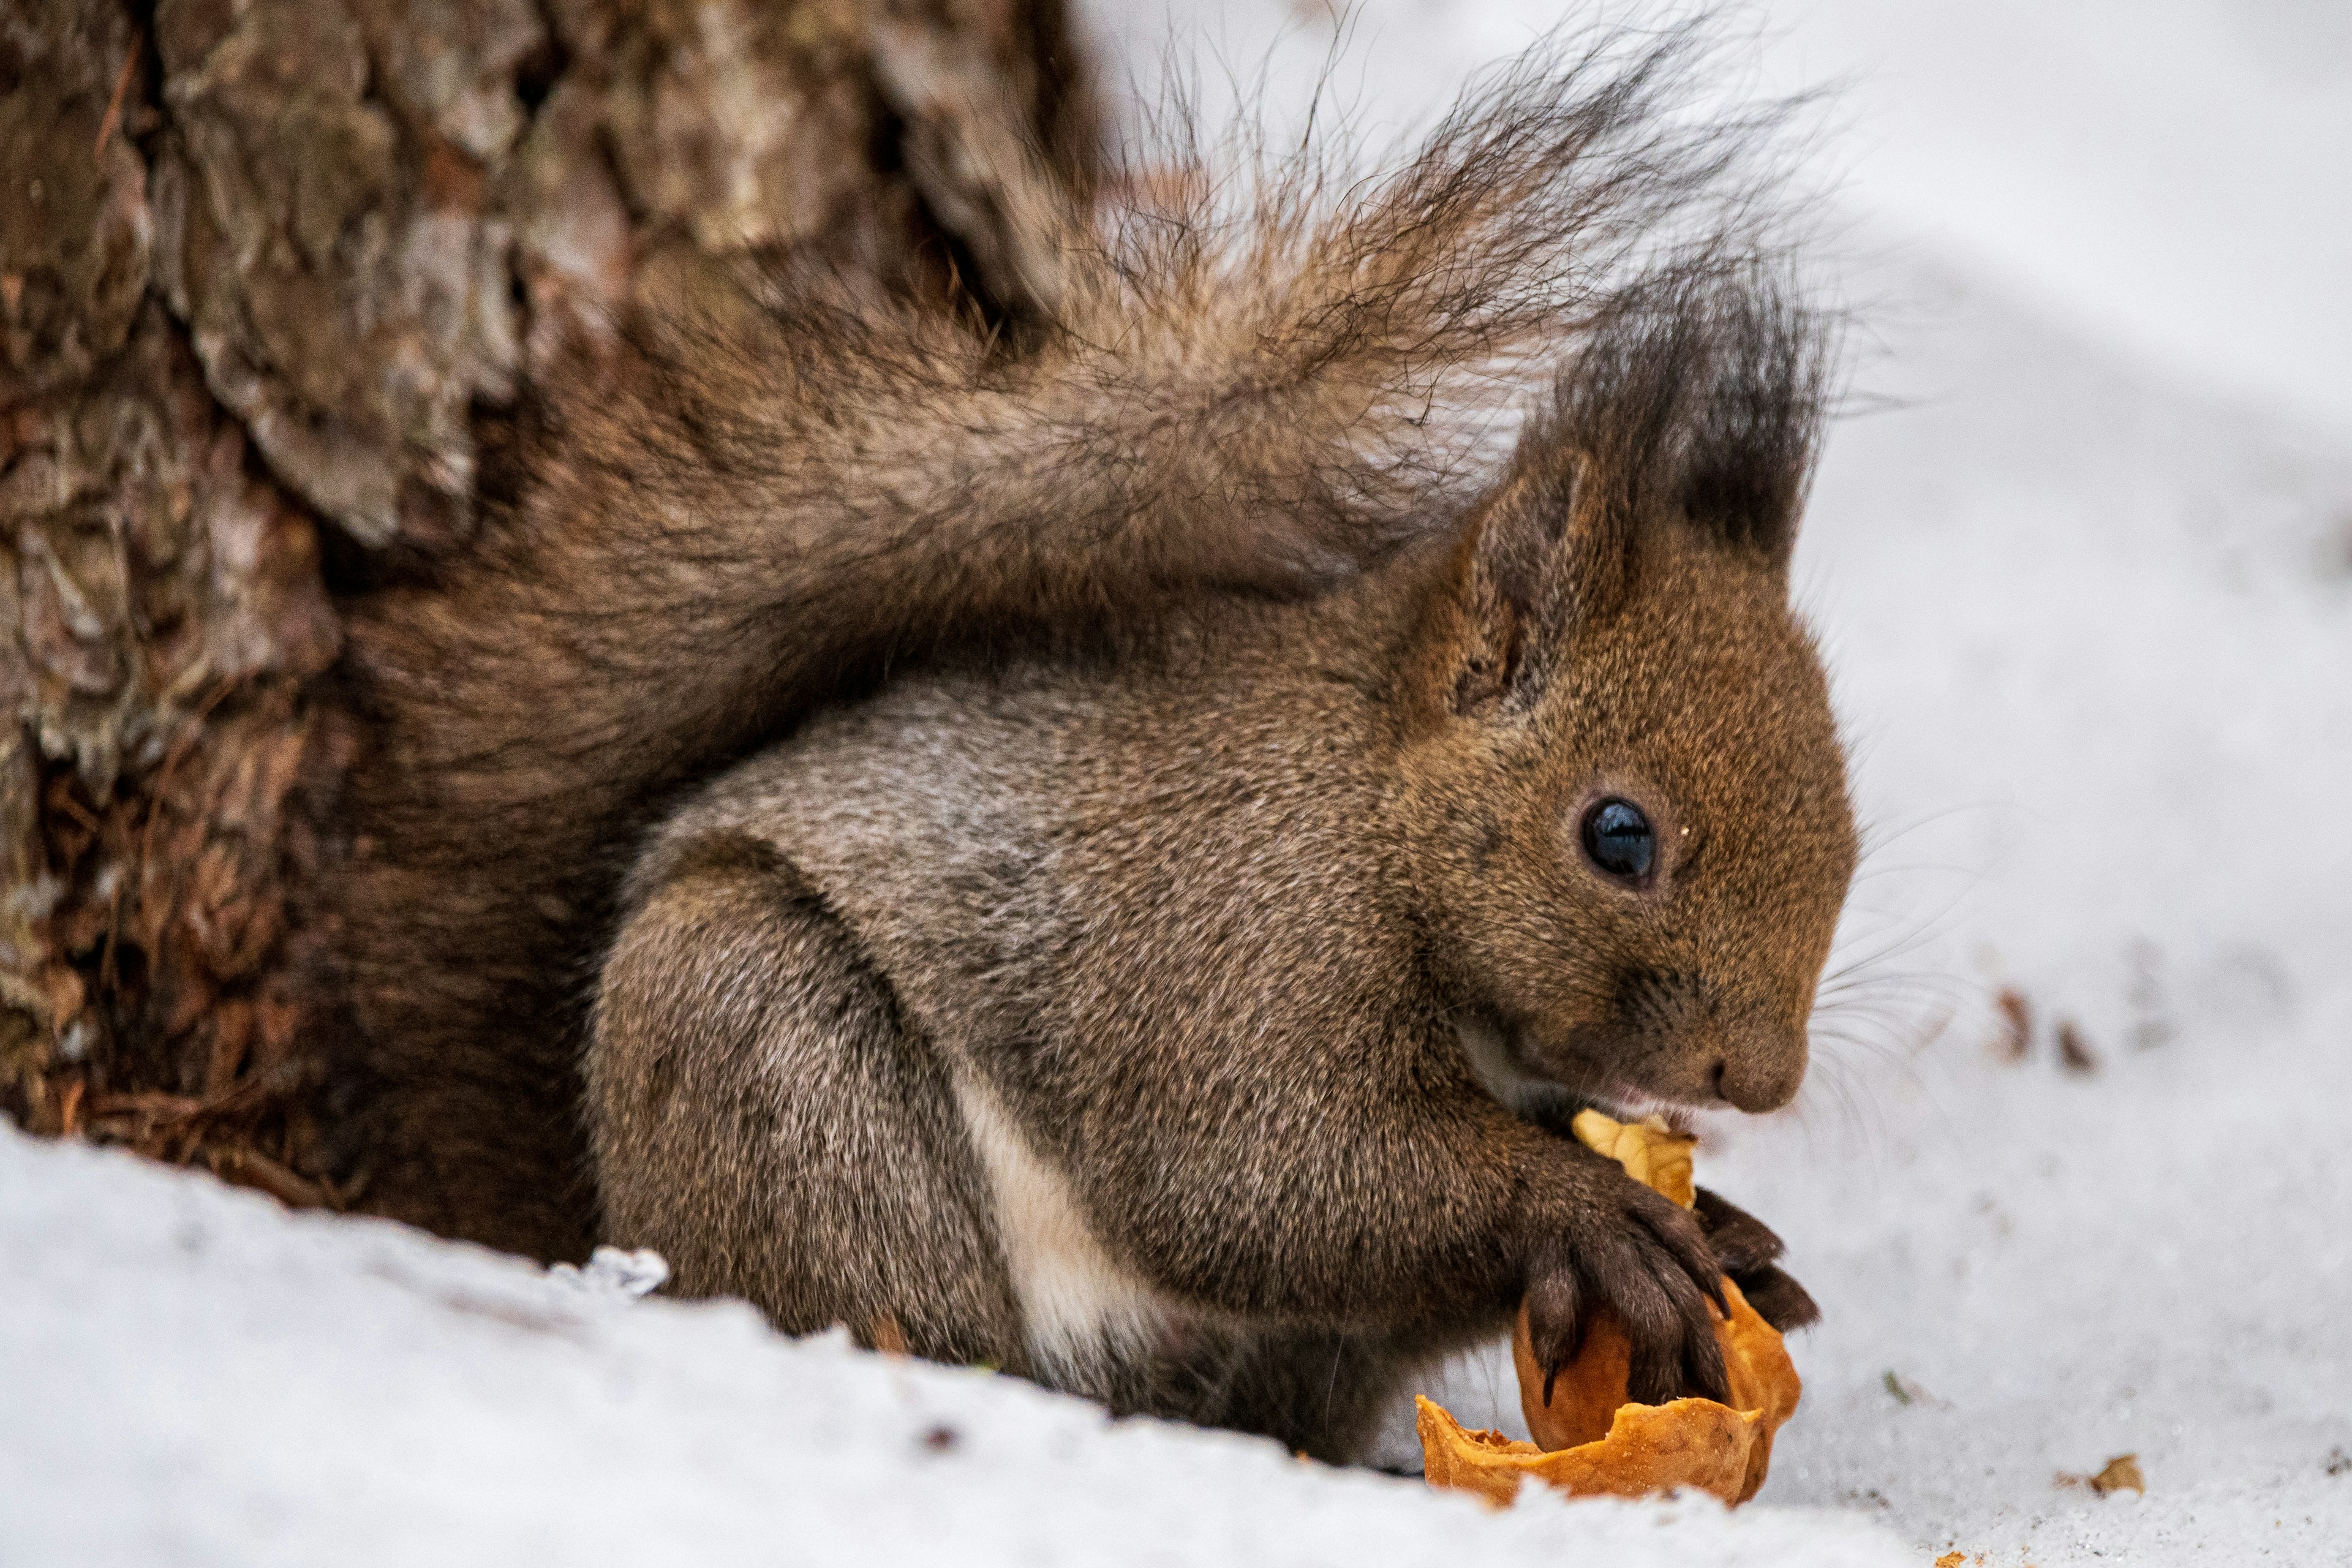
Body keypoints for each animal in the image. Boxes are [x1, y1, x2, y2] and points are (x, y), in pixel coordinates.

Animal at [331, 24, 1853, 1466]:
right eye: (1617, 834)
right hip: (766, 1044)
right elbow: (1261, 1176)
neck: (1370, 814)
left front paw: (1725, 1233)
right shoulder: (1227, 951)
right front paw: (1587, 1207)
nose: (1763, 1080)